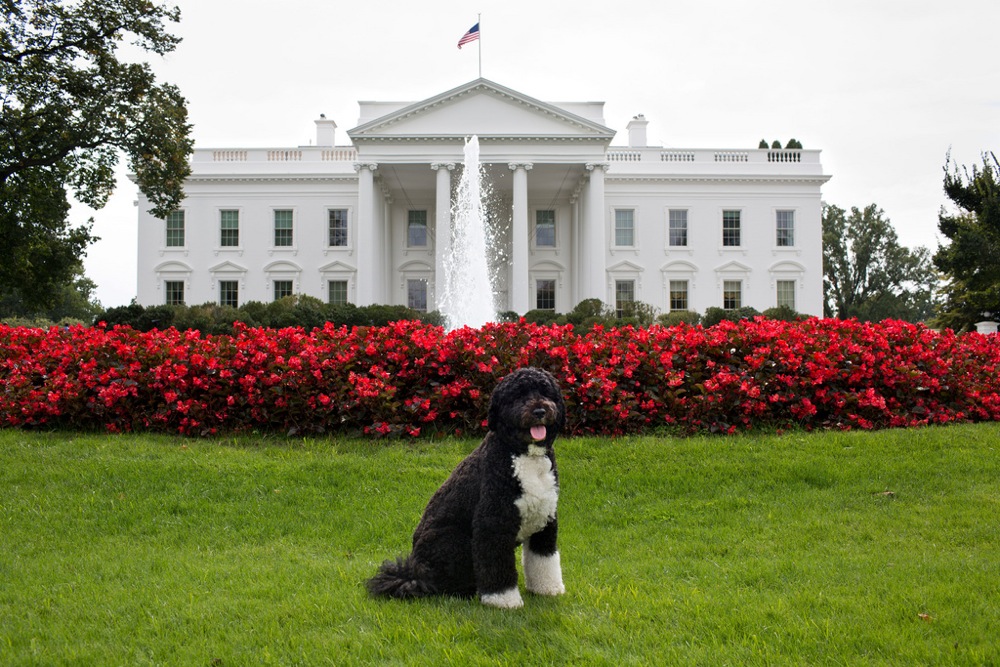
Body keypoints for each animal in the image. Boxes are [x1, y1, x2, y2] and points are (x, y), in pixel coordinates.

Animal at [370, 368, 572, 608]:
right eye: (518, 395)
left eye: (546, 392)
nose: (540, 410)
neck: (524, 455)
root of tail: (414, 573)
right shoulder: (492, 524)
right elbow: (495, 565)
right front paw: (503, 600)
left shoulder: (546, 520)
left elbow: (544, 560)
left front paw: (547, 589)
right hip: (455, 542)